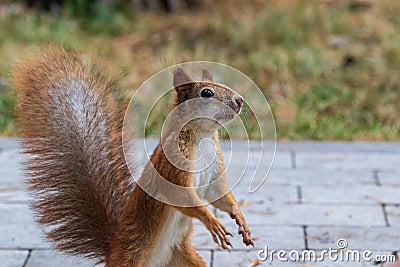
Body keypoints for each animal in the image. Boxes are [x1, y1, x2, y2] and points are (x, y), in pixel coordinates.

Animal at [14, 47, 253, 266]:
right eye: (207, 93)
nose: (240, 100)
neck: (203, 137)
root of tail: (112, 250)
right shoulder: (172, 166)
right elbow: (181, 195)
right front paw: (212, 222)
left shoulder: (214, 171)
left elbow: (219, 195)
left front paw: (240, 218)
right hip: (131, 254)